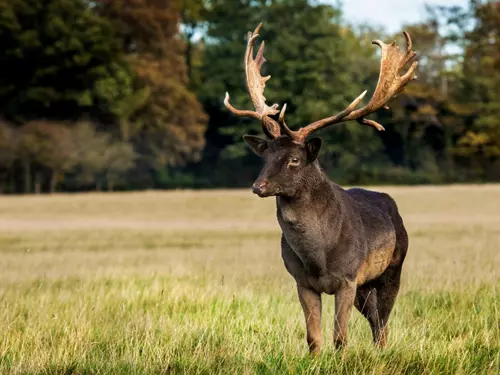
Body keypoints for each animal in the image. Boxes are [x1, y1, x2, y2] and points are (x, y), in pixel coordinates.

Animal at [225, 22, 416, 352]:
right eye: (265, 156)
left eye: (295, 159)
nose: (258, 186)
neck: (319, 256)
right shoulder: (302, 281)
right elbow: (313, 337)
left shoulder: (348, 277)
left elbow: (340, 337)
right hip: (365, 286)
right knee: (375, 319)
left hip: (393, 267)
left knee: (382, 323)